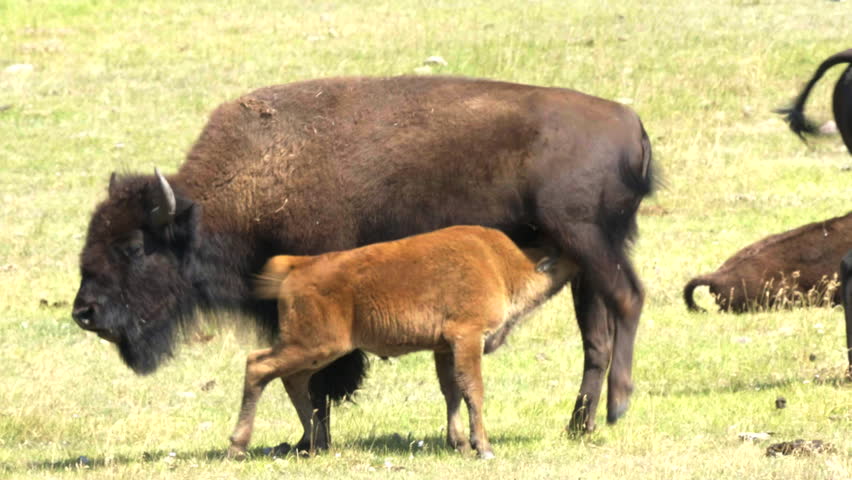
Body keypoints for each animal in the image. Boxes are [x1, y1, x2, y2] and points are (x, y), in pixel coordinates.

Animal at [226, 227, 576, 460]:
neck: (500, 264)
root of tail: (299, 266)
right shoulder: (467, 336)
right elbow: (472, 389)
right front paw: (484, 448)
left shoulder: (444, 347)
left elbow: (451, 391)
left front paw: (460, 444)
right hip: (315, 345)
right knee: (259, 366)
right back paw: (238, 447)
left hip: (316, 351)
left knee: (292, 379)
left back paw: (314, 444)